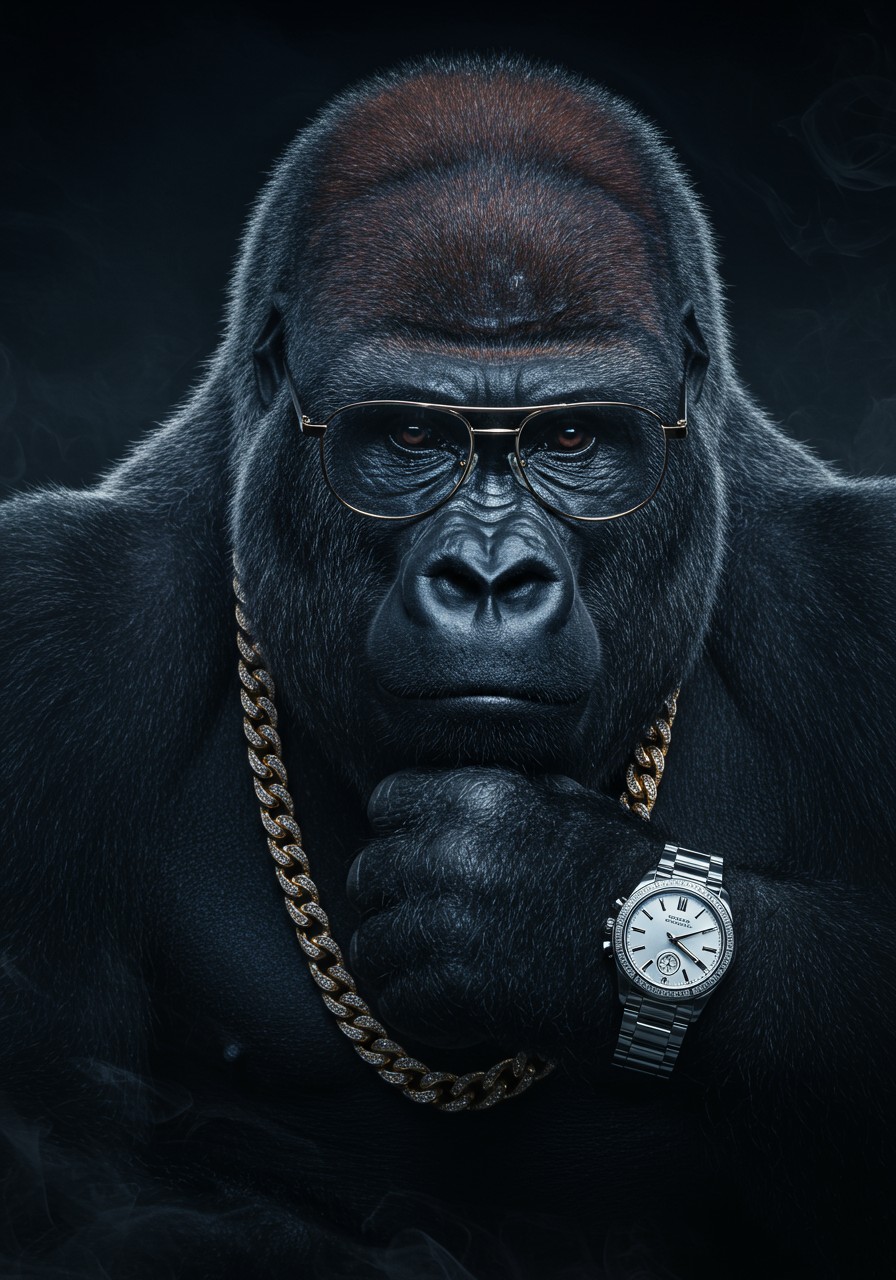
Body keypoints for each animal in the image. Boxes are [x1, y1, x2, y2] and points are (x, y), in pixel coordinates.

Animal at [1, 54, 893, 1280]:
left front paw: (538, 897)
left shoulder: (858, 605)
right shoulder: (51, 643)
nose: (488, 576)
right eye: (413, 435)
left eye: (571, 439)